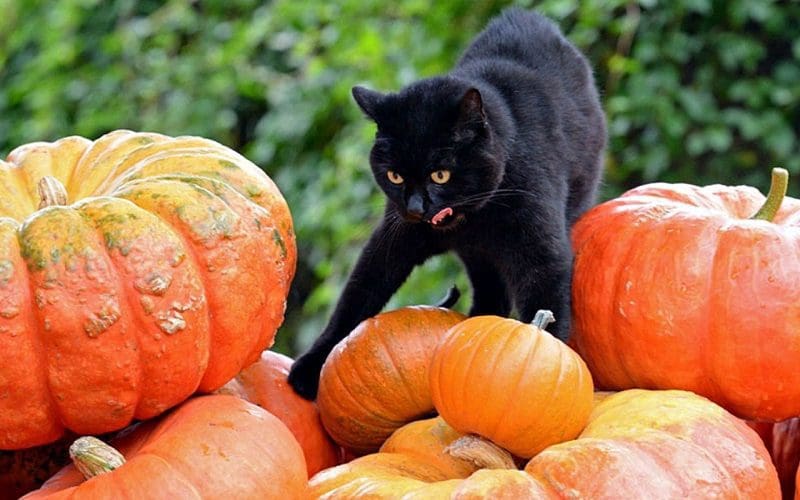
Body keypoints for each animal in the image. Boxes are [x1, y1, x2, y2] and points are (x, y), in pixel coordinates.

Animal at [288, 7, 608, 398]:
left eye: (440, 175)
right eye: (394, 176)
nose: (415, 207)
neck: (476, 220)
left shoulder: (543, 253)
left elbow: (547, 309)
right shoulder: (393, 240)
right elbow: (357, 297)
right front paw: (311, 365)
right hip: (478, 259)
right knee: (490, 292)